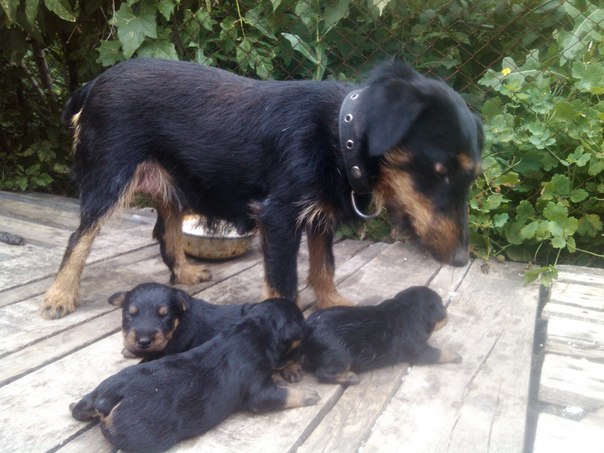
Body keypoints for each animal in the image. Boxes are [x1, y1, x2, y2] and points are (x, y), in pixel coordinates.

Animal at [42, 58, 483, 319]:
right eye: (440, 172)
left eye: (469, 177)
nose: (462, 259)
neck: (339, 136)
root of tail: (94, 83)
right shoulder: (281, 217)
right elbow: (285, 284)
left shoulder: (319, 218)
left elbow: (324, 266)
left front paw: (334, 303)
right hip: (109, 177)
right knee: (80, 236)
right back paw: (60, 295)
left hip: (172, 183)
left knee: (167, 232)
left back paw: (183, 272)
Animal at [70, 298, 320, 453]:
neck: (253, 331)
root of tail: (109, 398)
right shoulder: (259, 393)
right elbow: (285, 395)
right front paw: (310, 395)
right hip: (144, 437)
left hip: (100, 391)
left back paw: (76, 405)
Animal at [302, 286, 462, 385]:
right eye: (441, 305)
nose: (446, 313)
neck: (408, 309)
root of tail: (309, 327)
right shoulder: (420, 350)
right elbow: (439, 353)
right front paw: (456, 355)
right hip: (340, 354)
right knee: (322, 373)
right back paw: (350, 378)